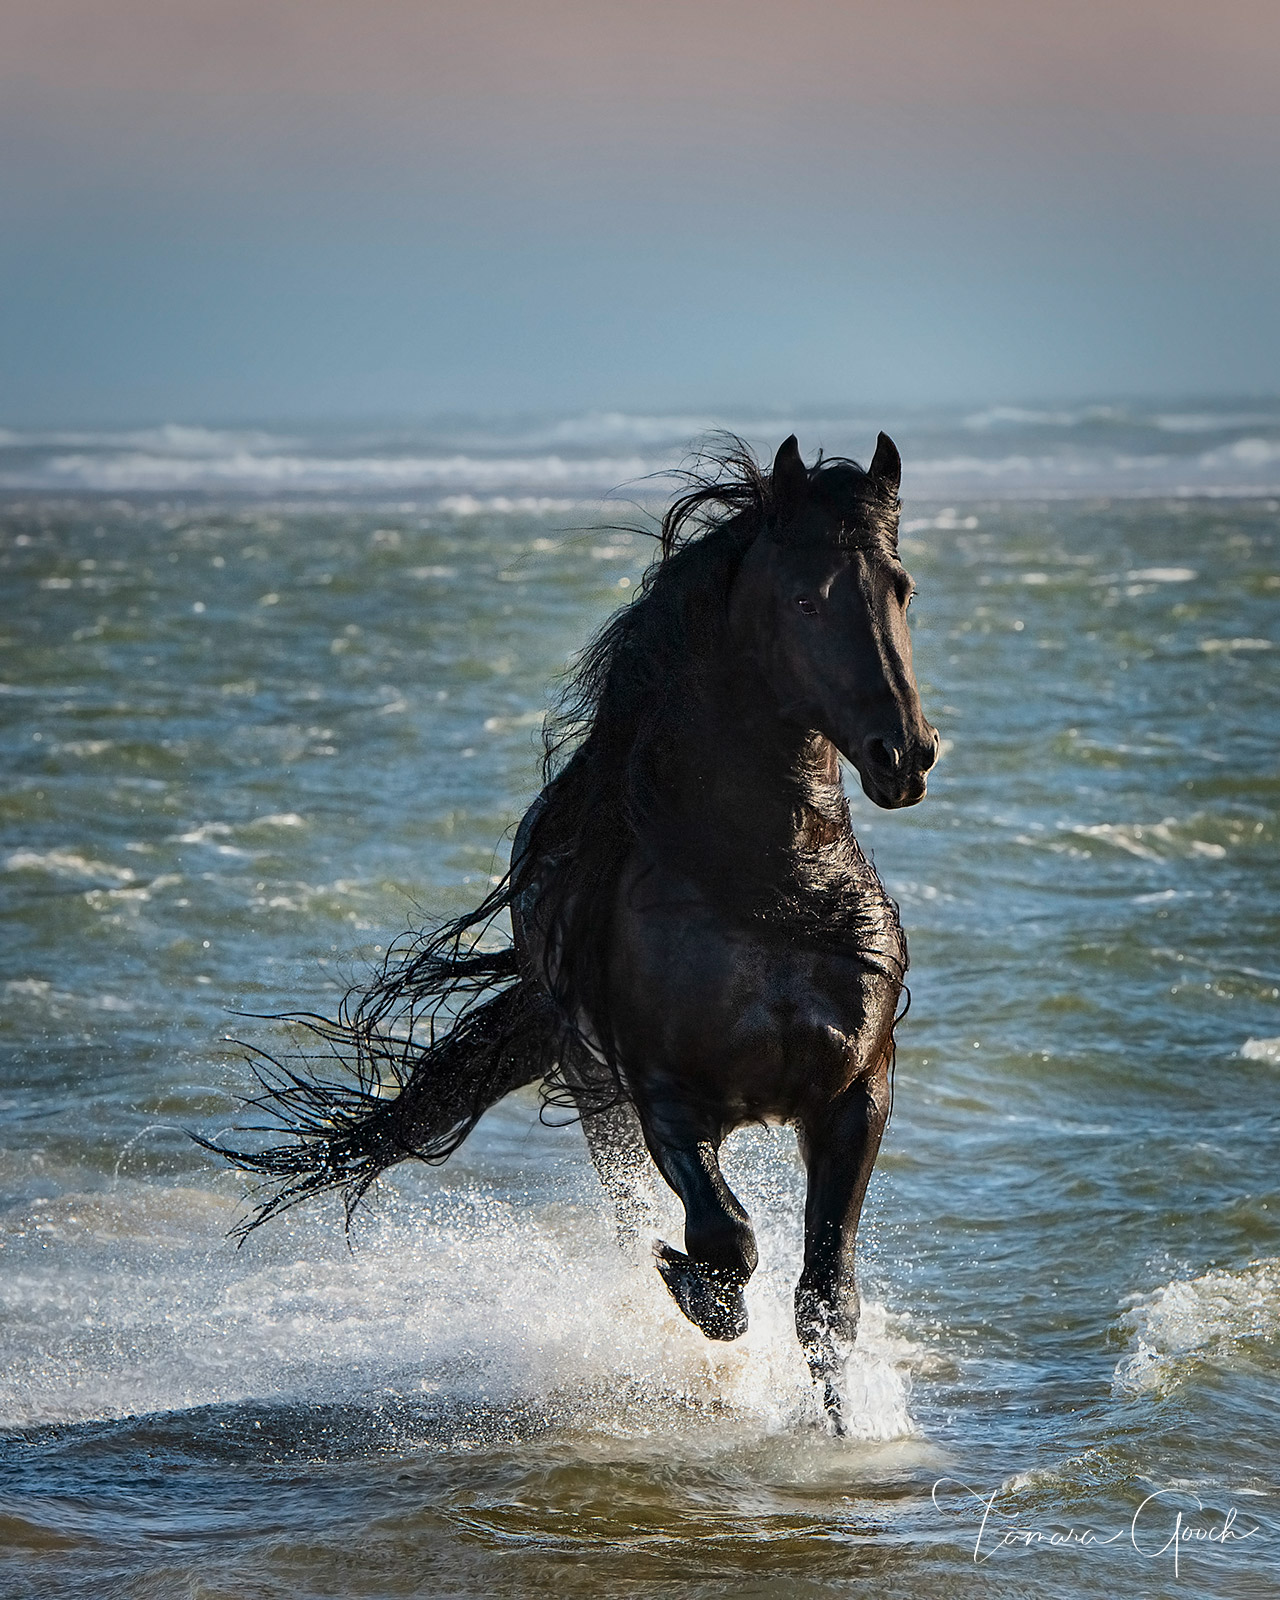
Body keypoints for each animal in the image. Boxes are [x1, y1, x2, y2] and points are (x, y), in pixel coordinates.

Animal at [209, 435, 940, 1427]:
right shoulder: (662, 1096)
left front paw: (842, 1429)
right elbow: (726, 1240)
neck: (766, 891)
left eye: (901, 588)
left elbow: (826, 1296)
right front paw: (694, 1290)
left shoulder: (855, 1093)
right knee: (638, 1217)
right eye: (804, 599)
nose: (905, 756)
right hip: (601, 1106)